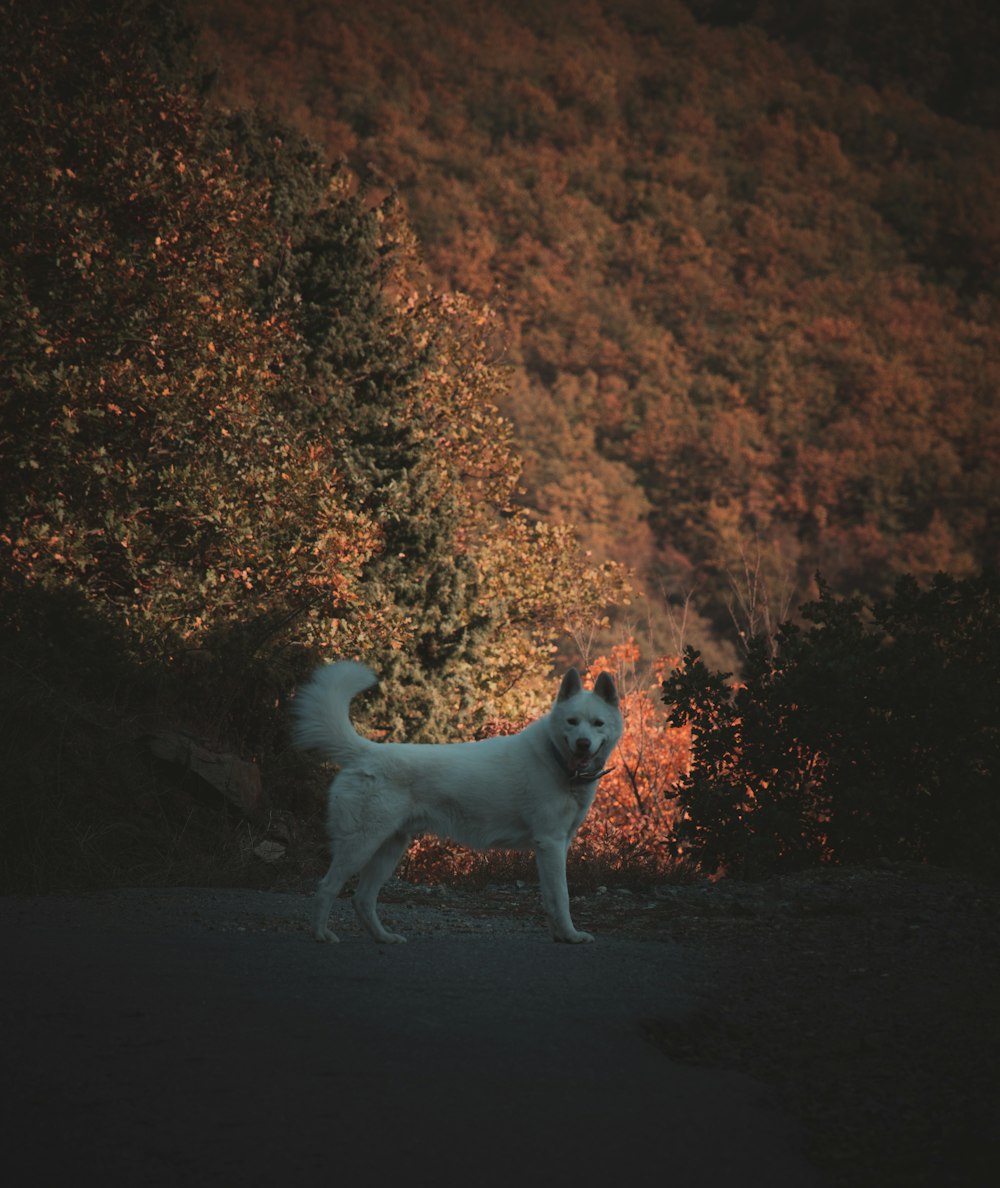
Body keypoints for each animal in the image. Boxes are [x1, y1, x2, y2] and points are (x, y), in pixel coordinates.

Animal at [288, 665, 617, 940]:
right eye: (572, 722)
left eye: (598, 723)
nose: (583, 744)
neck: (556, 758)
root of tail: (366, 752)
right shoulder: (550, 843)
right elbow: (561, 897)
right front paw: (572, 936)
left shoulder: (555, 846)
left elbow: (551, 898)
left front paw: (561, 936)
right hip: (360, 845)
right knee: (327, 888)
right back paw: (322, 935)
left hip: (389, 848)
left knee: (362, 899)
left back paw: (384, 938)